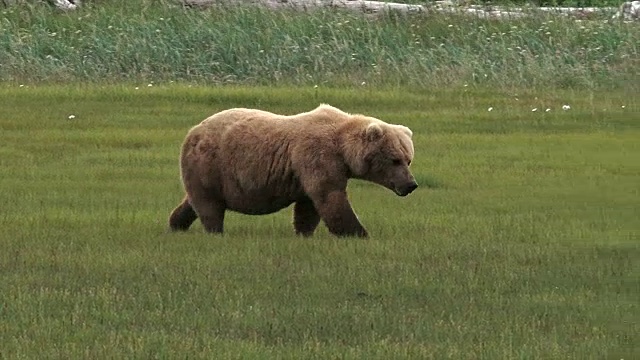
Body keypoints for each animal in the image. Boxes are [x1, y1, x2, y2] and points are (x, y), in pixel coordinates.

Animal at [170, 103, 418, 239]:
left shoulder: (306, 172)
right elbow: (331, 198)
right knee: (209, 206)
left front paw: (304, 233)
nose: (411, 185)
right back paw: (215, 231)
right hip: (211, 165)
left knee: (193, 201)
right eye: (395, 160)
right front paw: (359, 234)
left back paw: (176, 224)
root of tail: (193, 130)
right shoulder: (318, 157)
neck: (343, 150)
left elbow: (308, 207)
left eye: (408, 160)